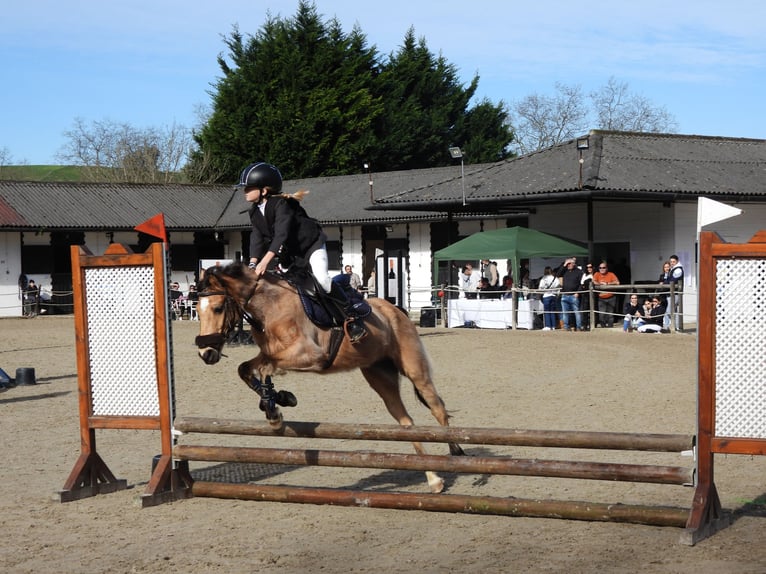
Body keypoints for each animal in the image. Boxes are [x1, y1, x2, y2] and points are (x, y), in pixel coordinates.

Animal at [195, 264, 464, 492]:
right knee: (406, 423)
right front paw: (276, 401)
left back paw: (456, 450)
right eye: (197, 309)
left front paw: (276, 407)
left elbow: (265, 370)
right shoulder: (268, 354)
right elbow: (245, 369)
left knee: (438, 408)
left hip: (415, 370)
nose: (205, 353)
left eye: (218, 308)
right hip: (380, 376)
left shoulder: (310, 355)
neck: (269, 307)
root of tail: (394, 309)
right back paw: (433, 480)